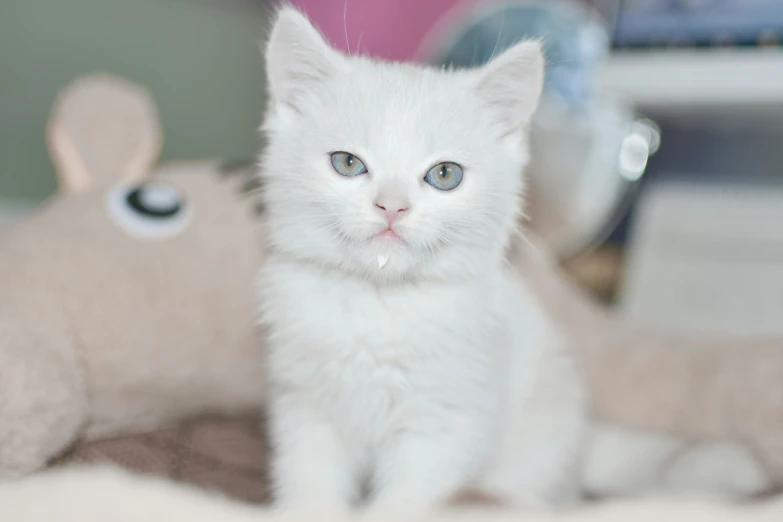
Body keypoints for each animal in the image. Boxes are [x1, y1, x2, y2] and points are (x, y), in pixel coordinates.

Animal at [258, 7, 588, 512]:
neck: (380, 303)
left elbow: (409, 497)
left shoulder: (447, 423)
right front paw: (307, 508)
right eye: (347, 164)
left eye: (444, 174)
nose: (392, 206)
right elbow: (309, 477)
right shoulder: (305, 404)